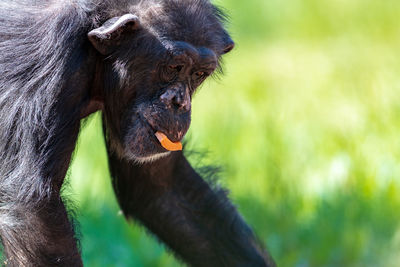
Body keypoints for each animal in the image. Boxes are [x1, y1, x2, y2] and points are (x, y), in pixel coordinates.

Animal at [0, 0, 276, 266]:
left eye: (198, 74)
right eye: (174, 67)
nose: (180, 103)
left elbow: (161, 187)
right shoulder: (50, 51)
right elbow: (31, 206)